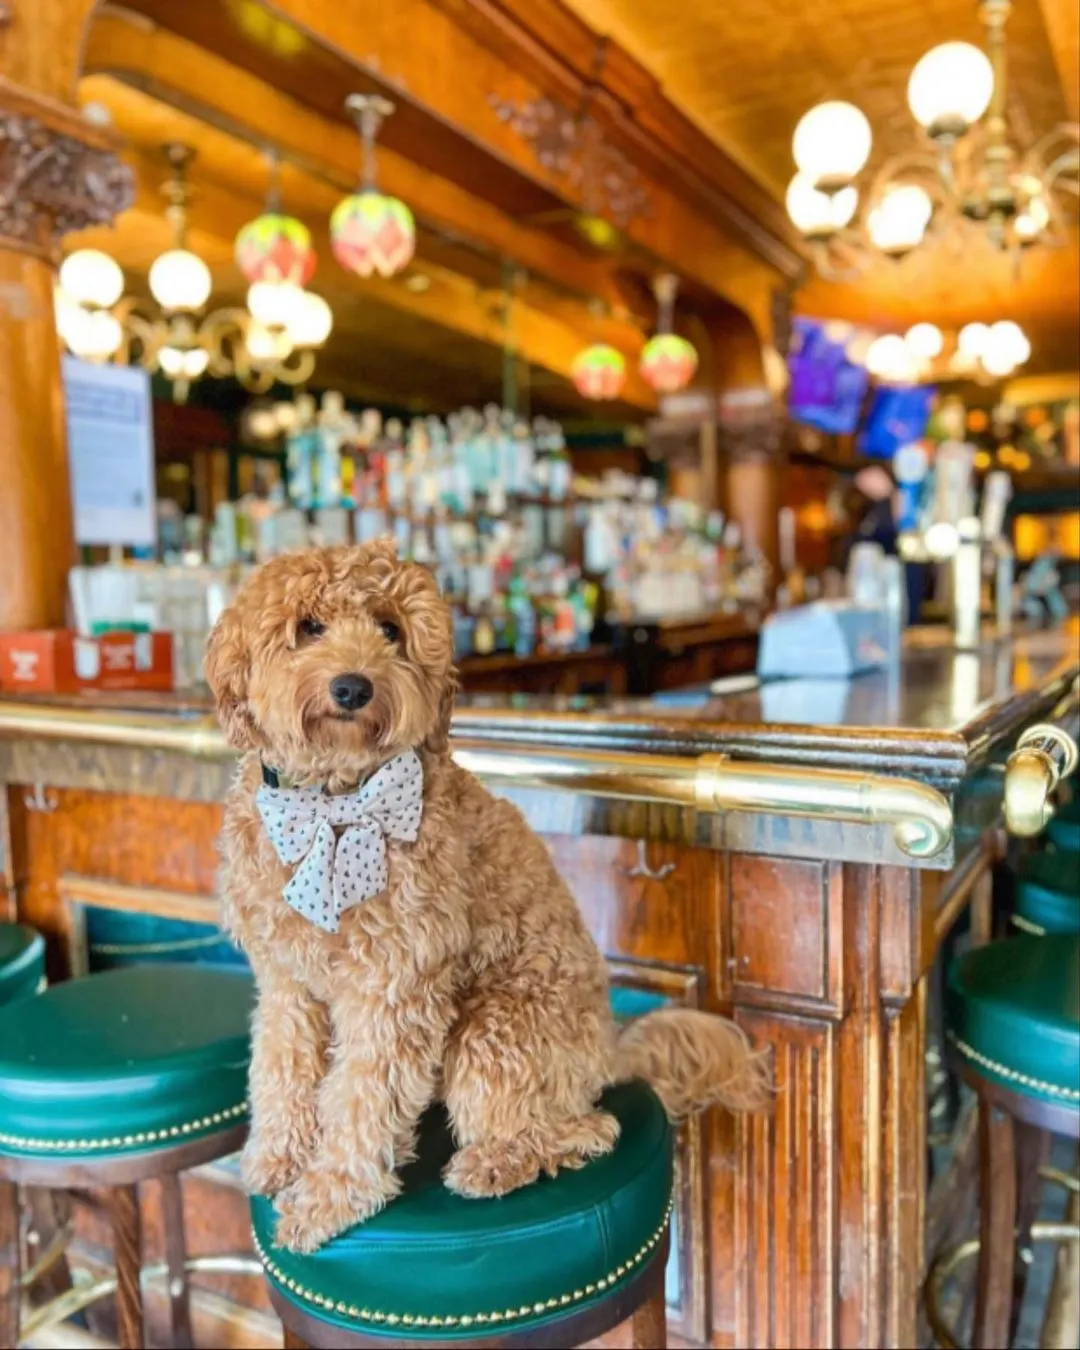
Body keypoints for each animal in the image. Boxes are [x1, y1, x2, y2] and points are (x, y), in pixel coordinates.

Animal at [209, 540, 766, 1252]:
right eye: (309, 626)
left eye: (390, 630)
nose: (354, 687)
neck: (331, 803)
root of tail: (609, 1048)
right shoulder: (287, 980)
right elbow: (281, 1066)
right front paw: (279, 1156)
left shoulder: (393, 986)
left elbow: (362, 1095)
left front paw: (330, 1195)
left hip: (494, 1031)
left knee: (584, 1131)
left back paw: (493, 1163)